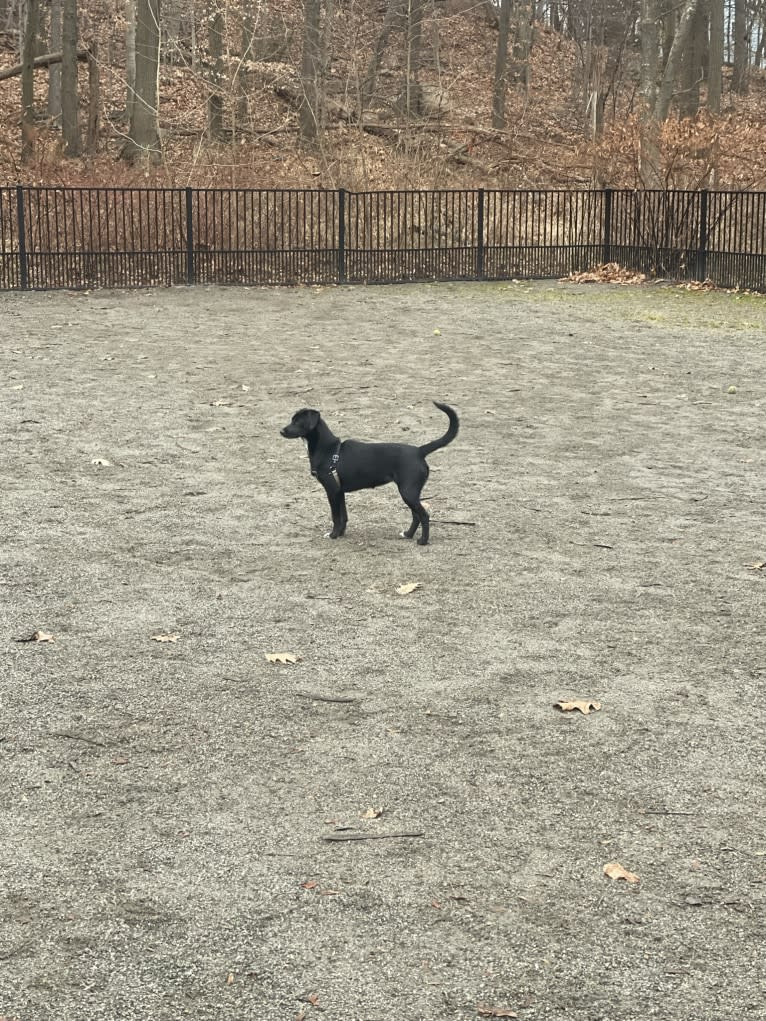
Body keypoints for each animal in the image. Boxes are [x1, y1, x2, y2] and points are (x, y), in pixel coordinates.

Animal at [281, 400, 461, 547]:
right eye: (292, 419)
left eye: (297, 421)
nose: (281, 431)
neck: (329, 450)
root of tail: (419, 451)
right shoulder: (340, 492)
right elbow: (343, 516)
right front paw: (341, 534)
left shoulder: (332, 491)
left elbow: (335, 516)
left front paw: (333, 535)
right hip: (411, 494)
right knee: (416, 515)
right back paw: (408, 534)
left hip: (408, 492)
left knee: (424, 516)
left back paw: (423, 541)